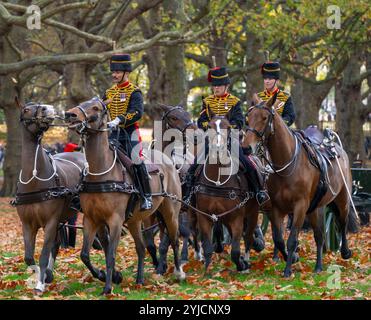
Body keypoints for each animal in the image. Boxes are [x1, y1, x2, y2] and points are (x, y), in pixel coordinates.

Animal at [14, 101, 85, 294]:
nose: (48, 109)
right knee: (57, 244)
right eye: (26, 109)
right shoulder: (27, 224)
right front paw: (42, 275)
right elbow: (29, 257)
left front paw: (40, 283)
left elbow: (44, 253)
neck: (35, 181)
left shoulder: (51, 222)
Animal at [65, 98, 186, 296]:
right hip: (135, 220)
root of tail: (168, 161)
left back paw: (178, 273)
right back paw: (140, 280)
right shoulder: (91, 219)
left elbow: (111, 254)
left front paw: (107, 287)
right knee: (141, 248)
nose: (70, 115)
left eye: (96, 107)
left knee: (174, 240)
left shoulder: (115, 220)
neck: (100, 173)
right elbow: (85, 255)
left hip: (171, 213)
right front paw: (107, 276)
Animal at [193, 110, 260, 272]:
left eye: (228, 127)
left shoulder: (237, 217)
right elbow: (207, 247)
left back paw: (246, 261)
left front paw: (242, 264)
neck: (218, 181)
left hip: (252, 213)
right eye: (209, 126)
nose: (218, 148)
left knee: (248, 237)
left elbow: (235, 250)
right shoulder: (204, 216)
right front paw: (206, 271)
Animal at [243, 93, 358, 278]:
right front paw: (291, 258)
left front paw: (288, 270)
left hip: (342, 200)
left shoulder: (300, 207)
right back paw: (318, 266)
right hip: (316, 208)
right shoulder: (276, 208)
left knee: (342, 222)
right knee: (319, 236)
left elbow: (291, 240)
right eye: (248, 117)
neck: (287, 164)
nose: (246, 148)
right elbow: (278, 238)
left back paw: (345, 252)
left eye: (265, 117)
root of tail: (337, 147)